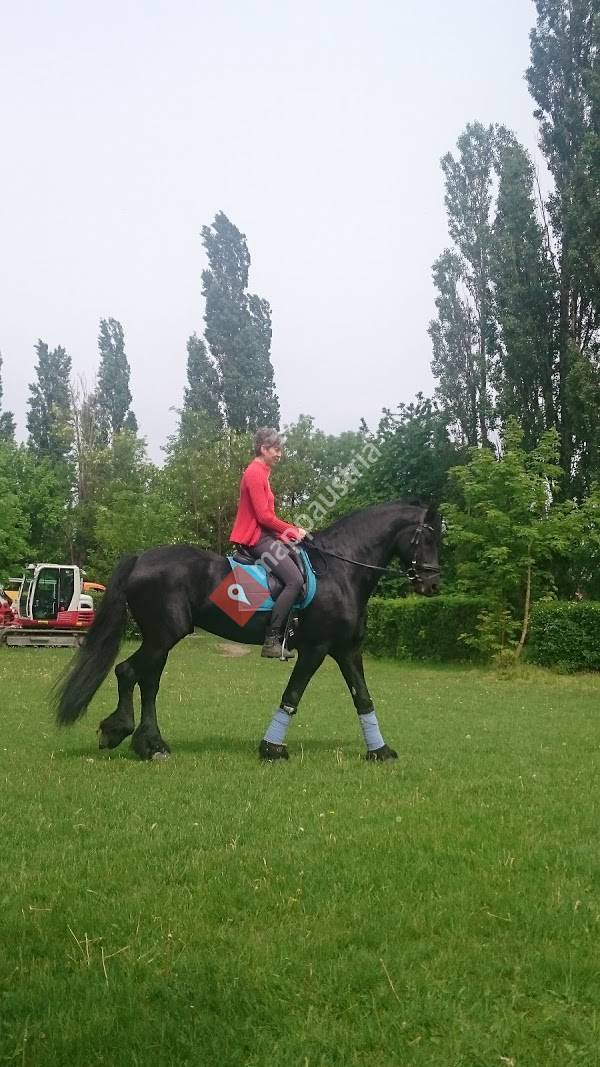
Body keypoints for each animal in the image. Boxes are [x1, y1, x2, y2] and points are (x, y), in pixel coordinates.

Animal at [54, 501, 441, 761]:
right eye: (428, 539)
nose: (433, 585)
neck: (339, 570)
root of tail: (141, 558)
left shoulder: (346, 649)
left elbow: (363, 697)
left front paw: (380, 750)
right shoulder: (316, 649)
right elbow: (292, 696)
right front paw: (272, 749)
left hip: (160, 639)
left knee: (147, 682)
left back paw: (151, 744)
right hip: (163, 636)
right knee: (128, 672)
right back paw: (123, 733)